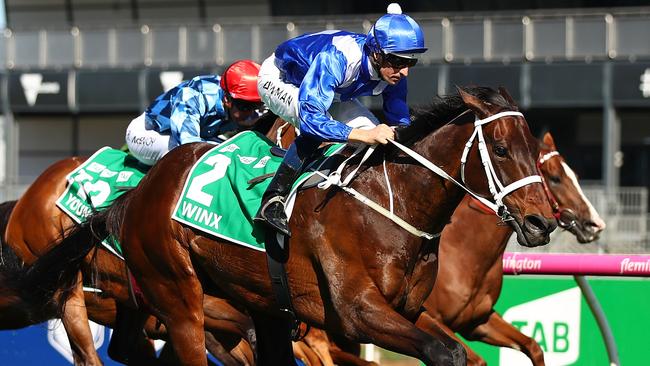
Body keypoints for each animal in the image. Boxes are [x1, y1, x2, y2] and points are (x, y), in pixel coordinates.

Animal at [30, 86, 556, 366]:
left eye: (535, 151)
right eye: (502, 150)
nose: (542, 223)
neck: (391, 206)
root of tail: (140, 190)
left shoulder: (407, 309)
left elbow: (458, 352)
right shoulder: (356, 313)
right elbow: (443, 352)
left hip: (252, 303)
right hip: (178, 299)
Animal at [412, 132, 604, 366]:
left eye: (575, 175)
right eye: (555, 178)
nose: (595, 224)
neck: (465, 252)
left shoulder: (477, 321)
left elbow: (533, 345)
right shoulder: (430, 317)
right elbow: (477, 360)